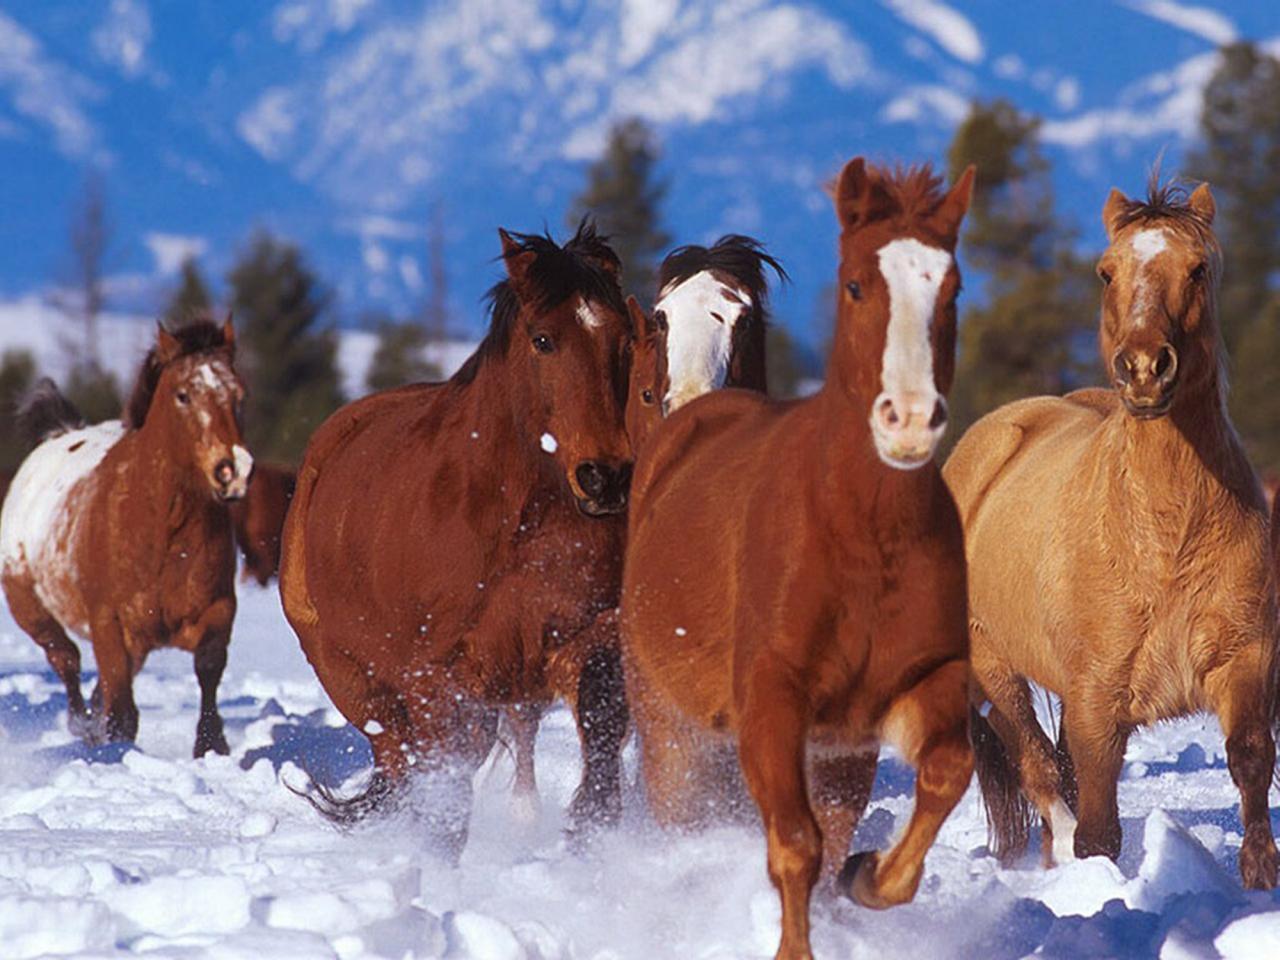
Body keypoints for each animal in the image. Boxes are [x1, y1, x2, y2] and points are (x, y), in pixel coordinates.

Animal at [0, 321, 252, 757]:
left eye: (237, 393)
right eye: (183, 394)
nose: (232, 471)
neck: (163, 533)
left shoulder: (217, 610)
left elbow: (208, 668)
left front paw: (211, 745)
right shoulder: (109, 625)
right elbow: (121, 711)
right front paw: (114, 750)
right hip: (31, 611)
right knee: (66, 660)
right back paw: (83, 725)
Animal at [282, 224, 637, 855]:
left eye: (624, 337)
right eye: (543, 339)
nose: (605, 476)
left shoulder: (587, 641)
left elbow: (600, 767)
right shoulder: (436, 685)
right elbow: (443, 807)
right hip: (354, 681)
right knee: (401, 765)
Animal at [619, 160, 967, 960]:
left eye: (952, 285)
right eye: (855, 284)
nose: (907, 417)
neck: (864, 537)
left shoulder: (890, 704)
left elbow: (933, 781)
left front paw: (870, 877)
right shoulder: (772, 705)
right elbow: (796, 847)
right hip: (669, 729)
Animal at [942, 176, 1280, 890]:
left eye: (1197, 268)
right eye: (1106, 272)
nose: (1146, 368)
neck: (1165, 534)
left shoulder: (1245, 659)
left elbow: (1249, 759)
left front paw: (1260, 876)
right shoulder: (1099, 699)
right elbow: (1097, 826)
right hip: (996, 667)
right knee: (1039, 767)